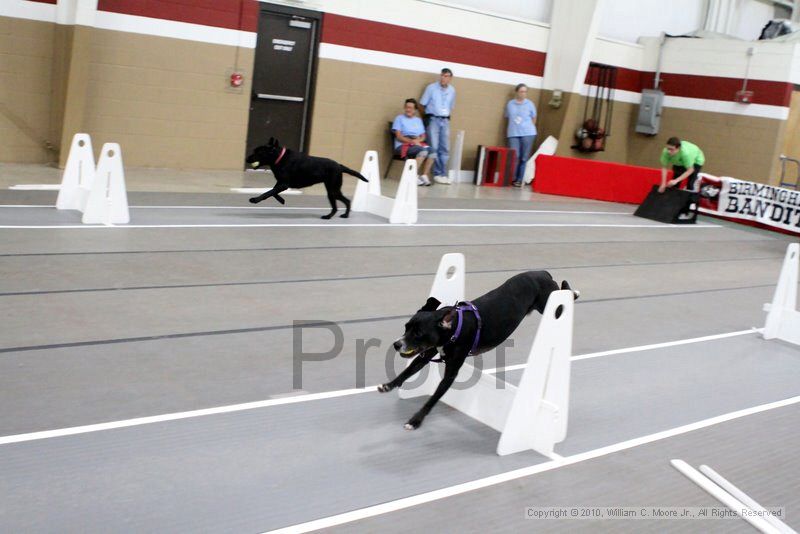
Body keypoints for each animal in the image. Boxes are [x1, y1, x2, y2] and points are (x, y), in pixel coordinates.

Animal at [382, 272, 580, 432]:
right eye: (406, 327)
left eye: (418, 333)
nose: (397, 344)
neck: (453, 329)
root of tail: (544, 273)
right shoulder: (426, 354)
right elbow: (408, 371)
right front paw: (389, 385)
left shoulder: (450, 374)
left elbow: (433, 399)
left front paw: (415, 421)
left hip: (551, 305)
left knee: (566, 296)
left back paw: (574, 292)